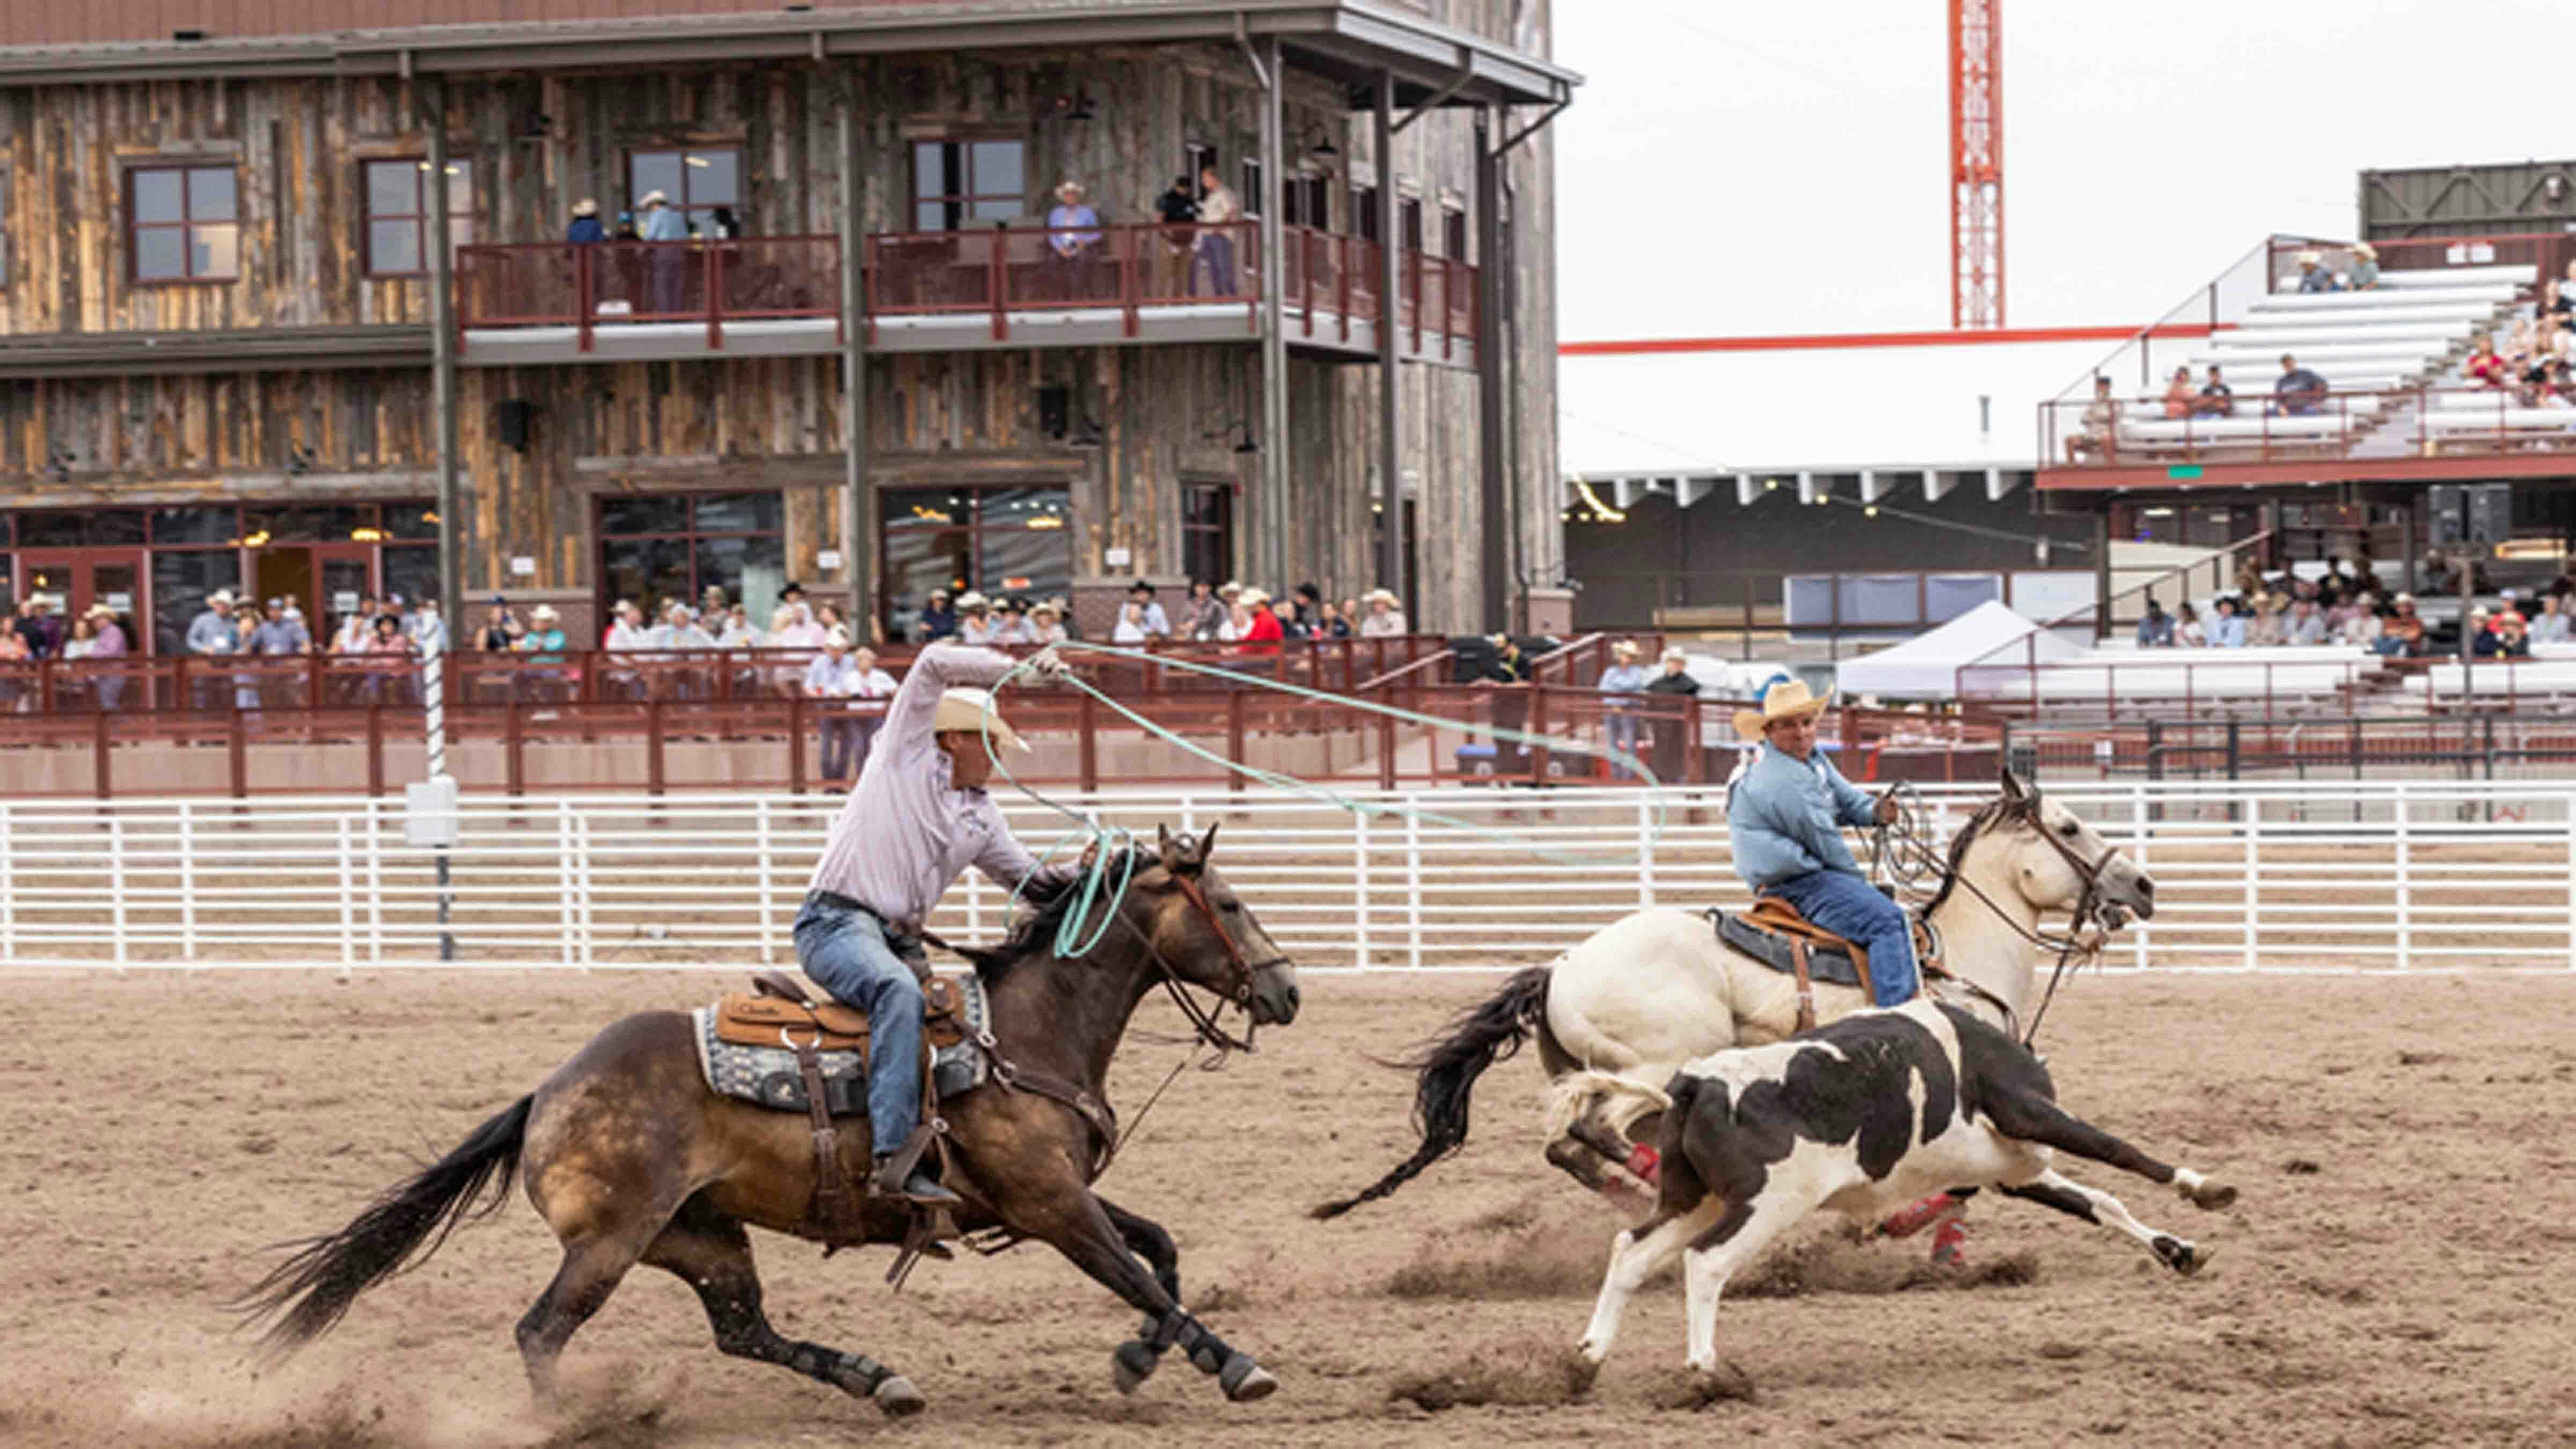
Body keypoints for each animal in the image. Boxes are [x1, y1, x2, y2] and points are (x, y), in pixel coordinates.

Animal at [242, 825, 1298, 1413]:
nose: (1286, 992)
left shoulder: (1050, 1197)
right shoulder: (1049, 1206)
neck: (1025, 1033)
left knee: (744, 1332)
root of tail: (547, 1092)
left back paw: (880, 1382)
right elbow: (1139, 1275)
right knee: (541, 1333)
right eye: (1233, 901)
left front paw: (1137, 1360)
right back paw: (564, 1422)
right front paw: (1234, 1364)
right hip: (610, 1243)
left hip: (700, 1236)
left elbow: (1158, 1253)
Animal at [1308, 763, 2153, 1238]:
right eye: (2071, 826)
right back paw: (1656, 1184)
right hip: (1656, 1063)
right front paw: (1913, 1221)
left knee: (1566, 1144)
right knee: (1596, 1133)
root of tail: (1561, 966)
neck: (1961, 964)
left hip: (1601, 1074)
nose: (2142, 885)